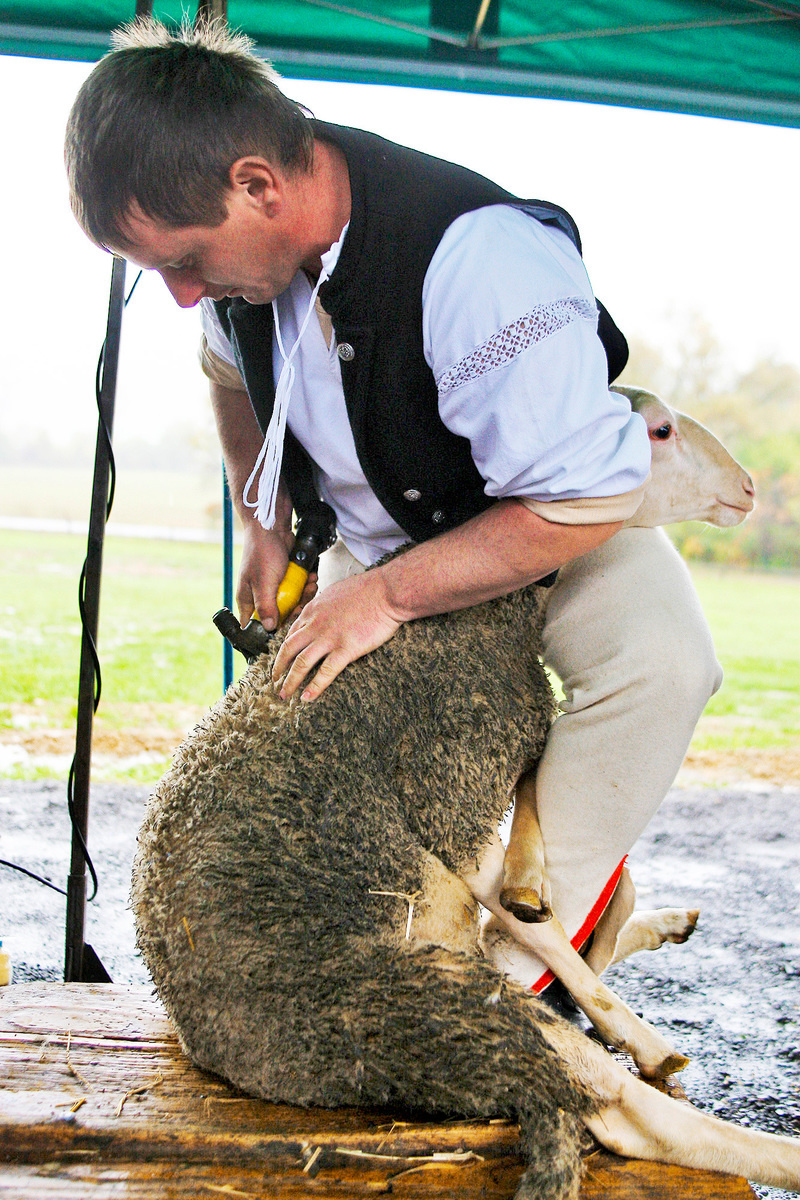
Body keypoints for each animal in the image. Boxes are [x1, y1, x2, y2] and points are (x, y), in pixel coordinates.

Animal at [128, 388, 796, 1195]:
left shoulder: (518, 744)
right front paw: (632, 1023)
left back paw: (657, 927)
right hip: (441, 1008)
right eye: (659, 431)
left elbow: (539, 839)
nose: (749, 488)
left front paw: (538, 879)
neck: (480, 615)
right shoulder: (449, 789)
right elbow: (541, 929)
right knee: (629, 1112)